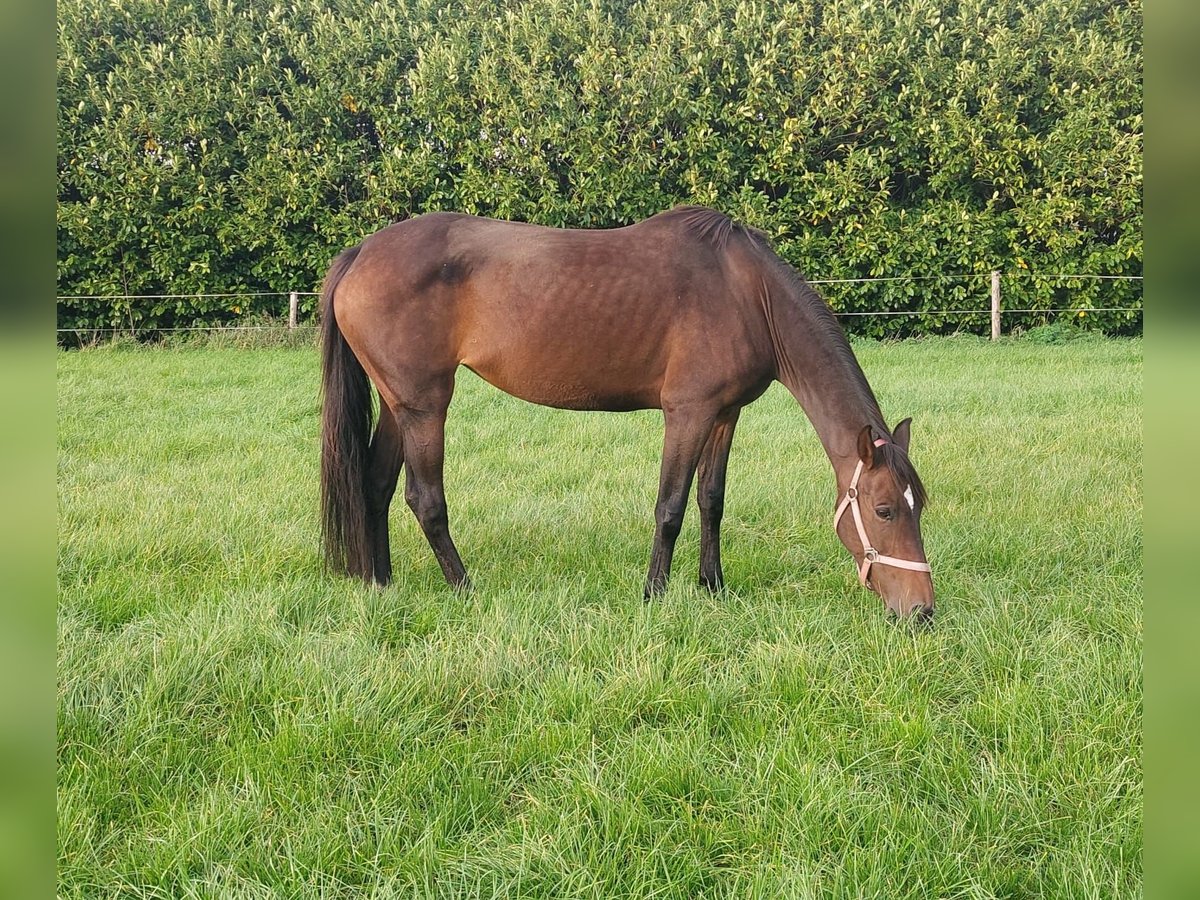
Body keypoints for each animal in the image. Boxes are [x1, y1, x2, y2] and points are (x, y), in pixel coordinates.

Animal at [321, 207, 936, 624]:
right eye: (884, 509)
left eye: (918, 506)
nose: (922, 611)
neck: (747, 293)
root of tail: (360, 253)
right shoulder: (686, 413)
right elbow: (671, 508)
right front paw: (655, 595)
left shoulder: (724, 415)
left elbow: (711, 501)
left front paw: (713, 586)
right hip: (425, 407)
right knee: (424, 499)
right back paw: (464, 587)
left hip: (398, 406)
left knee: (375, 485)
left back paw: (381, 584)